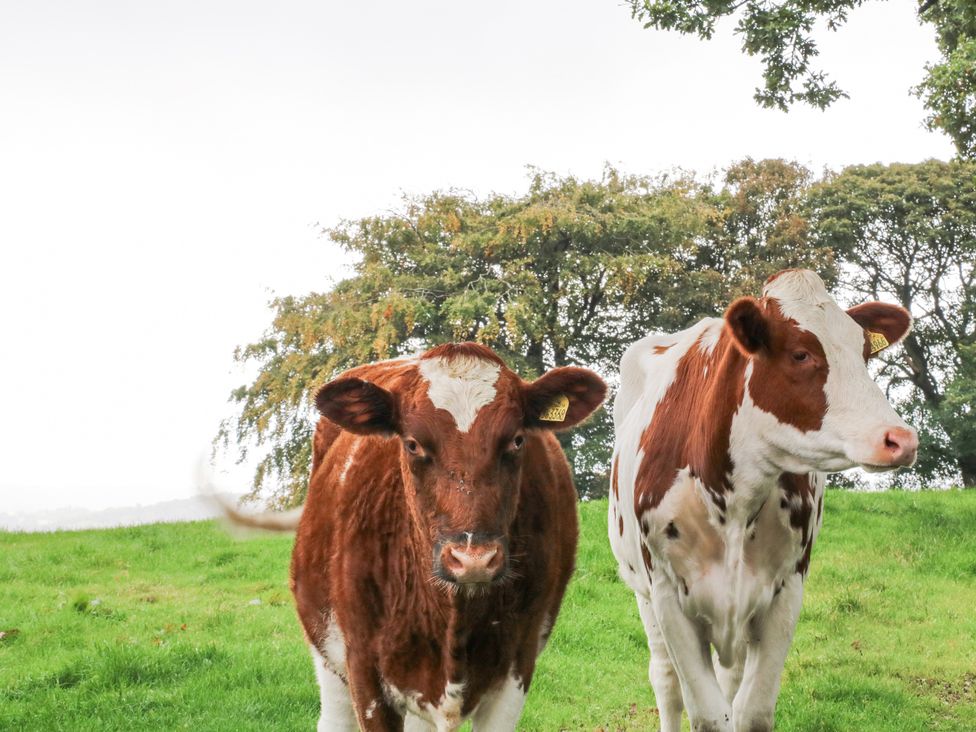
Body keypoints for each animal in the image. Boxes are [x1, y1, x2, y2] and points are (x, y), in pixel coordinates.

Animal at [294, 344, 608, 732]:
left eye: (517, 439)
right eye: (413, 444)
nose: (473, 559)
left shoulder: (518, 663)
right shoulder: (363, 669)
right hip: (327, 654)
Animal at [612, 270, 920, 732]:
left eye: (864, 351)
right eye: (800, 353)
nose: (900, 439)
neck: (733, 501)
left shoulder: (786, 591)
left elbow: (751, 710)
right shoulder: (668, 594)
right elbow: (706, 713)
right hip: (643, 593)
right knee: (665, 680)